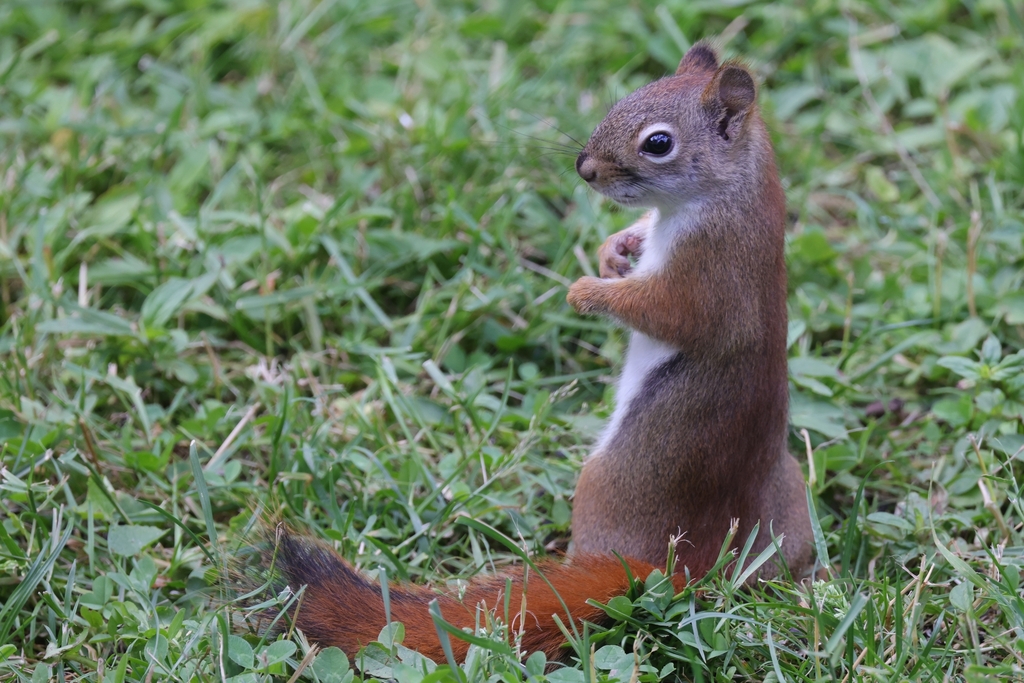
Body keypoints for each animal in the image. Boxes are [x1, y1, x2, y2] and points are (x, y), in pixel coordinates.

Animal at [235, 42, 812, 665]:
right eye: (628, 95)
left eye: (658, 143)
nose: (584, 167)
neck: (731, 190)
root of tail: (687, 566)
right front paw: (615, 247)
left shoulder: (707, 272)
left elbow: (665, 312)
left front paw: (585, 291)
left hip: (603, 484)